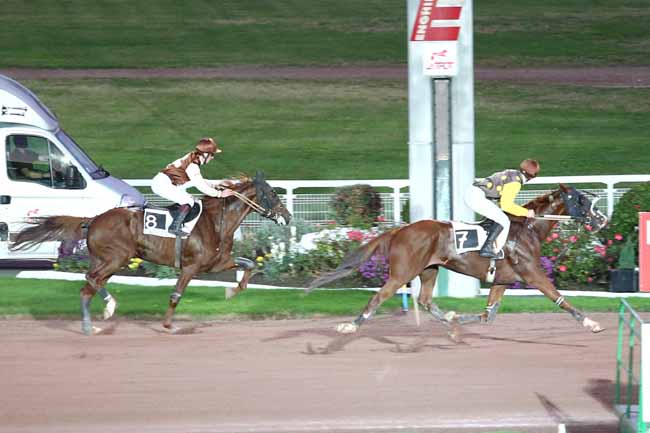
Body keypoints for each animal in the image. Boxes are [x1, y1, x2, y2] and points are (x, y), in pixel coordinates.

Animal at [9, 171, 288, 334]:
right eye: (273, 194)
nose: (287, 216)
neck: (215, 222)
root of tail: (94, 219)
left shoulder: (216, 263)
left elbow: (249, 264)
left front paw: (232, 291)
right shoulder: (191, 267)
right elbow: (176, 295)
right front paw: (167, 325)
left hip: (105, 260)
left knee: (87, 286)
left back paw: (92, 324)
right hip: (116, 258)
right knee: (92, 280)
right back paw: (108, 308)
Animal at [308, 184, 608, 332]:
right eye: (581, 200)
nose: (603, 219)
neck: (528, 229)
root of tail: (400, 230)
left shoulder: (502, 280)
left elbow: (488, 314)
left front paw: (458, 318)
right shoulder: (532, 273)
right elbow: (560, 298)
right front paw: (591, 323)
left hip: (429, 269)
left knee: (425, 300)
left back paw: (447, 320)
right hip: (401, 273)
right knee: (378, 298)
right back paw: (350, 325)